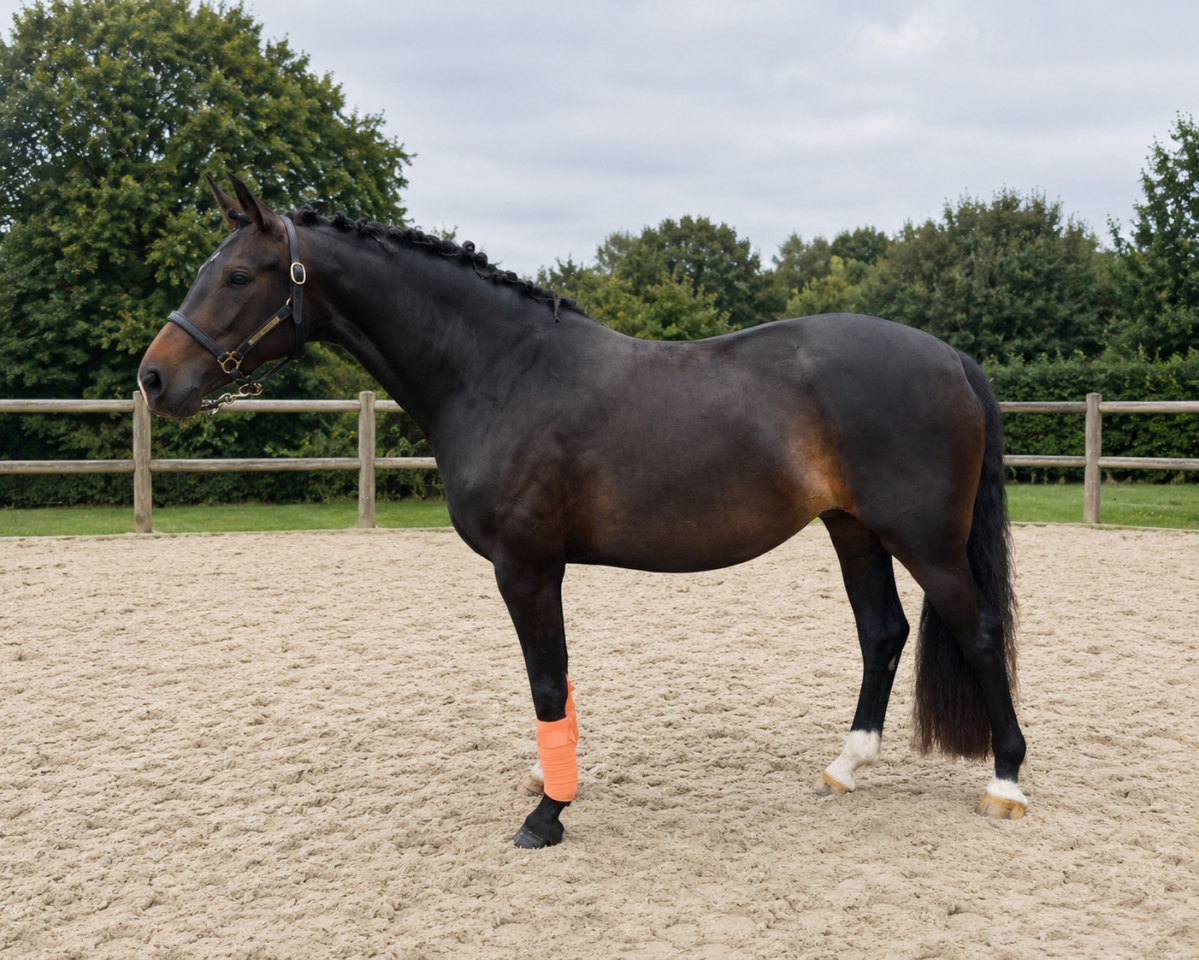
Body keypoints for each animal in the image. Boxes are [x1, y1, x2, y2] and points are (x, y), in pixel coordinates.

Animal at [138, 175, 1027, 849]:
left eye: (239, 276)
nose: (153, 378)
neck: (502, 372)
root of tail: (948, 355)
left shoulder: (525, 567)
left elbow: (544, 679)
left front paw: (547, 814)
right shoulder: (541, 569)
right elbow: (556, 684)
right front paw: (550, 778)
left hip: (925, 541)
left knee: (980, 633)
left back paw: (1006, 781)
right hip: (853, 530)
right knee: (882, 634)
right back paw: (845, 768)